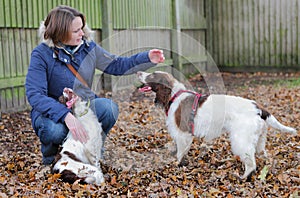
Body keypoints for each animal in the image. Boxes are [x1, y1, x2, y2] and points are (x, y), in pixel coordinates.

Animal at [137, 71, 296, 179]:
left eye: (152, 75)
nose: (139, 72)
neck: (174, 95)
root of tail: (258, 107)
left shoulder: (183, 134)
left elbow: (180, 154)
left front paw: (177, 166)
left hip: (241, 138)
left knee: (251, 162)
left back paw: (243, 177)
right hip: (260, 138)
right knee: (262, 154)